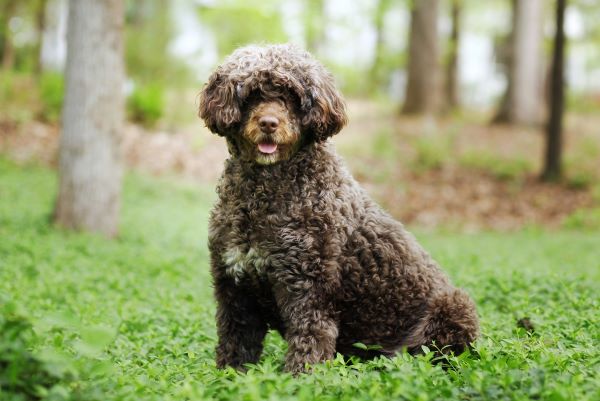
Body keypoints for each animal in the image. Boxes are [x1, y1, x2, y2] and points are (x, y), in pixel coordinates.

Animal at [199, 45, 480, 374]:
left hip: (454, 307)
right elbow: (235, 343)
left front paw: (298, 379)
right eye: (252, 94)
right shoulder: (235, 288)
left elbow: (309, 343)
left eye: (291, 96)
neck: (264, 191)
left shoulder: (309, 291)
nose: (269, 123)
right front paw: (228, 376)